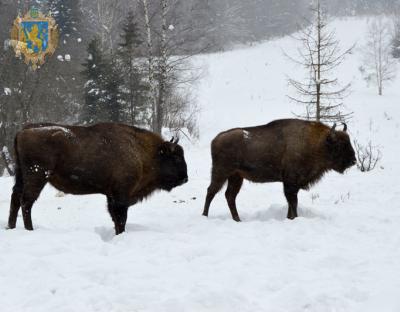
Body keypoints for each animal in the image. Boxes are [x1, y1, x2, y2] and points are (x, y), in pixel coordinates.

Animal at [6, 122, 188, 234]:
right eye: (177, 158)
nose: (185, 178)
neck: (143, 152)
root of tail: (22, 132)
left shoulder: (111, 195)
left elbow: (115, 218)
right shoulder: (121, 195)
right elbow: (120, 218)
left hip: (21, 175)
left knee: (15, 198)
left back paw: (11, 227)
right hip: (37, 176)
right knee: (26, 201)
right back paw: (29, 229)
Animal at [203, 118, 356, 221]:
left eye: (348, 142)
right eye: (339, 145)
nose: (353, 161)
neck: (317, 143)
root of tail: (216, 139)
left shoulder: (293, 185)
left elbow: (291, 202)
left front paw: (289, 218)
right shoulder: (290, 183)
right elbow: (293, 202)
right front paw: (294, 218)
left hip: (236, 177)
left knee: (230, 195)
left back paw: (237, 219)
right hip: (221, 173)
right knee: (211, 191)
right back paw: (205, 215)